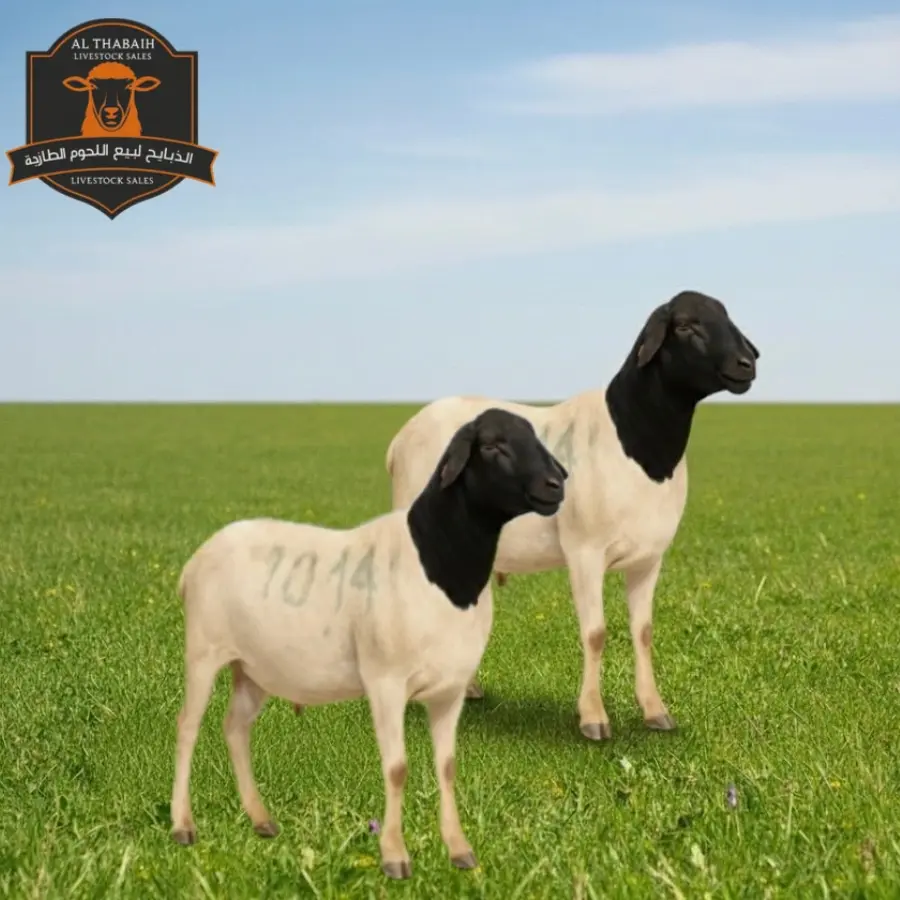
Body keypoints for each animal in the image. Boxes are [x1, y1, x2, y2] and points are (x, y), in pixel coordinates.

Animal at [169, 408, 567, 880]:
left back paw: (261, 820)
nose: (557, 484)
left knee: (235, 728)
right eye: (492, 446)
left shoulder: (450, 691)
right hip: (203, 652)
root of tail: (196, 559)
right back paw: (182, 826)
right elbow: (396, 768)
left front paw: (459, 850)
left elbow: (448, 767)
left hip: (253, 668)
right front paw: (395, 856)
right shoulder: (386, 682)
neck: (439, 564)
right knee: (187, 729)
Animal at [385, 290, 759, 739]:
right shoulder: (585, 552)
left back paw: (467, 689)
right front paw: (594, 718)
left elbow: (644, 632)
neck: (635, 443)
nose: (747, 364)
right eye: (685, 326)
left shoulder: (649, 558)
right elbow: (595, 633)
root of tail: (399, 439)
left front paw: (655, 711)